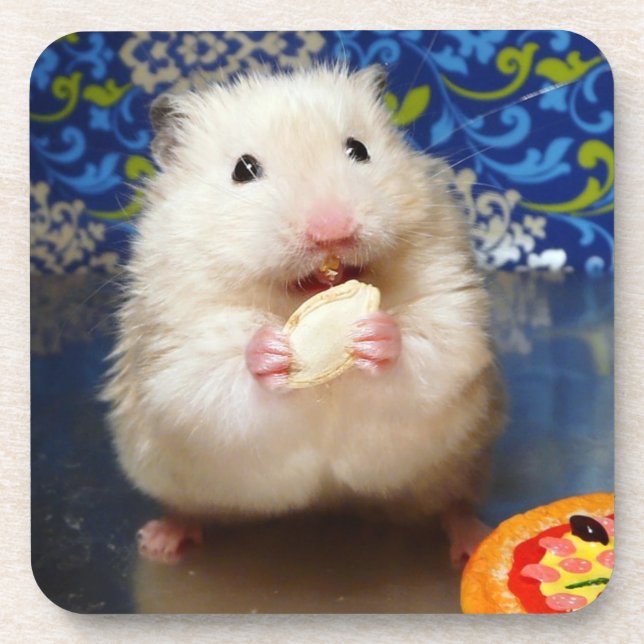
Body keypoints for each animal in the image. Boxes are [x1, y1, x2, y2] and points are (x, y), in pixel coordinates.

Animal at [102, 63, 505, 565]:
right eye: (243, 170)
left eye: (358, 149)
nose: (332, 230)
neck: (294, 301)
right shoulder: (173, 348)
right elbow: (212, 378)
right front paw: (271, 352)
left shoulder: (451, 304)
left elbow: (432, 347)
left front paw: (375, 335)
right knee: (188, 508)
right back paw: (160, 541)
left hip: (458, 466)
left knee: (451, 505)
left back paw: (472, 540)